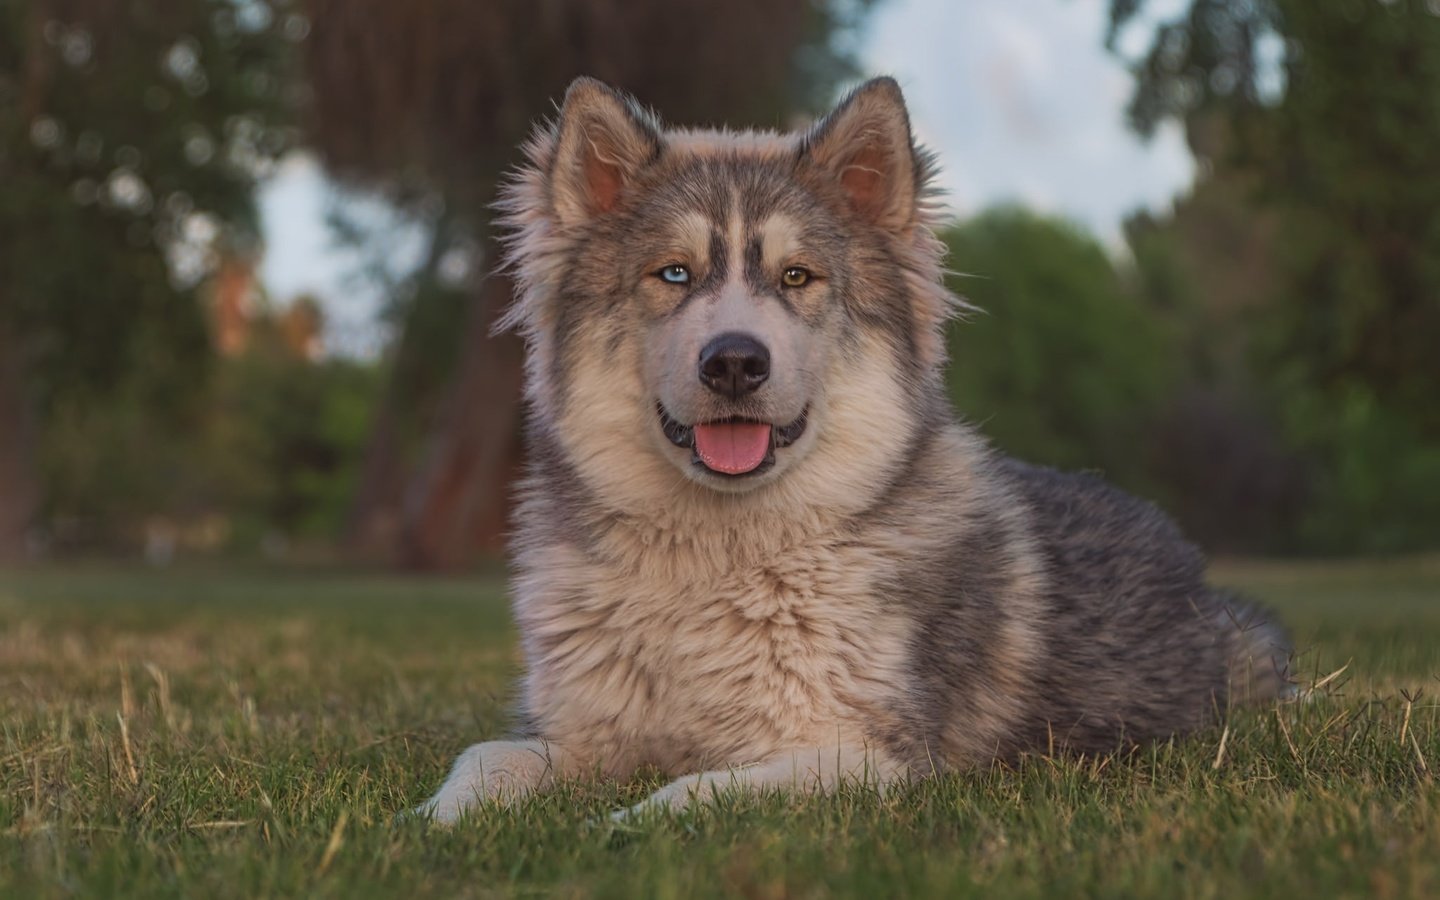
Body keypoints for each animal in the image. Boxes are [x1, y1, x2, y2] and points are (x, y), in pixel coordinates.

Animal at [417, 77, 1296, 823]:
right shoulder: (576, 730)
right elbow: (485, 757)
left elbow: (690, 793)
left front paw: (619, 825)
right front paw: (434, 822)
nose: (734, 363)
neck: (716, 562)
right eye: (672, 274)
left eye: (797, 277)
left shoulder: (869, 757)